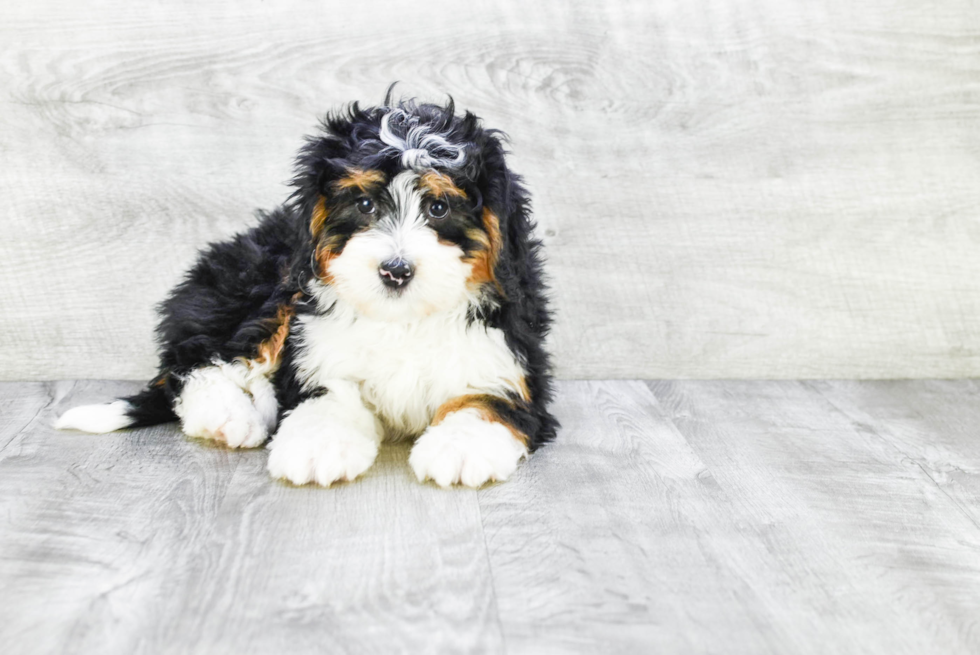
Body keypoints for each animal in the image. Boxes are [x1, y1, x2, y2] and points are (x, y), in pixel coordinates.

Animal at [55, 96, 560, 486]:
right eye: (364, 203)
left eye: (439, 208)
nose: (395, 271)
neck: (402, 319)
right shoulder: (320, 353)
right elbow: (327, 397)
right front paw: (318, 445)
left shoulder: (510, 359)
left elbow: (487, 400)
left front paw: (459, 448)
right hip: (262, 287)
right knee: (197, 360)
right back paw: (229, 416)